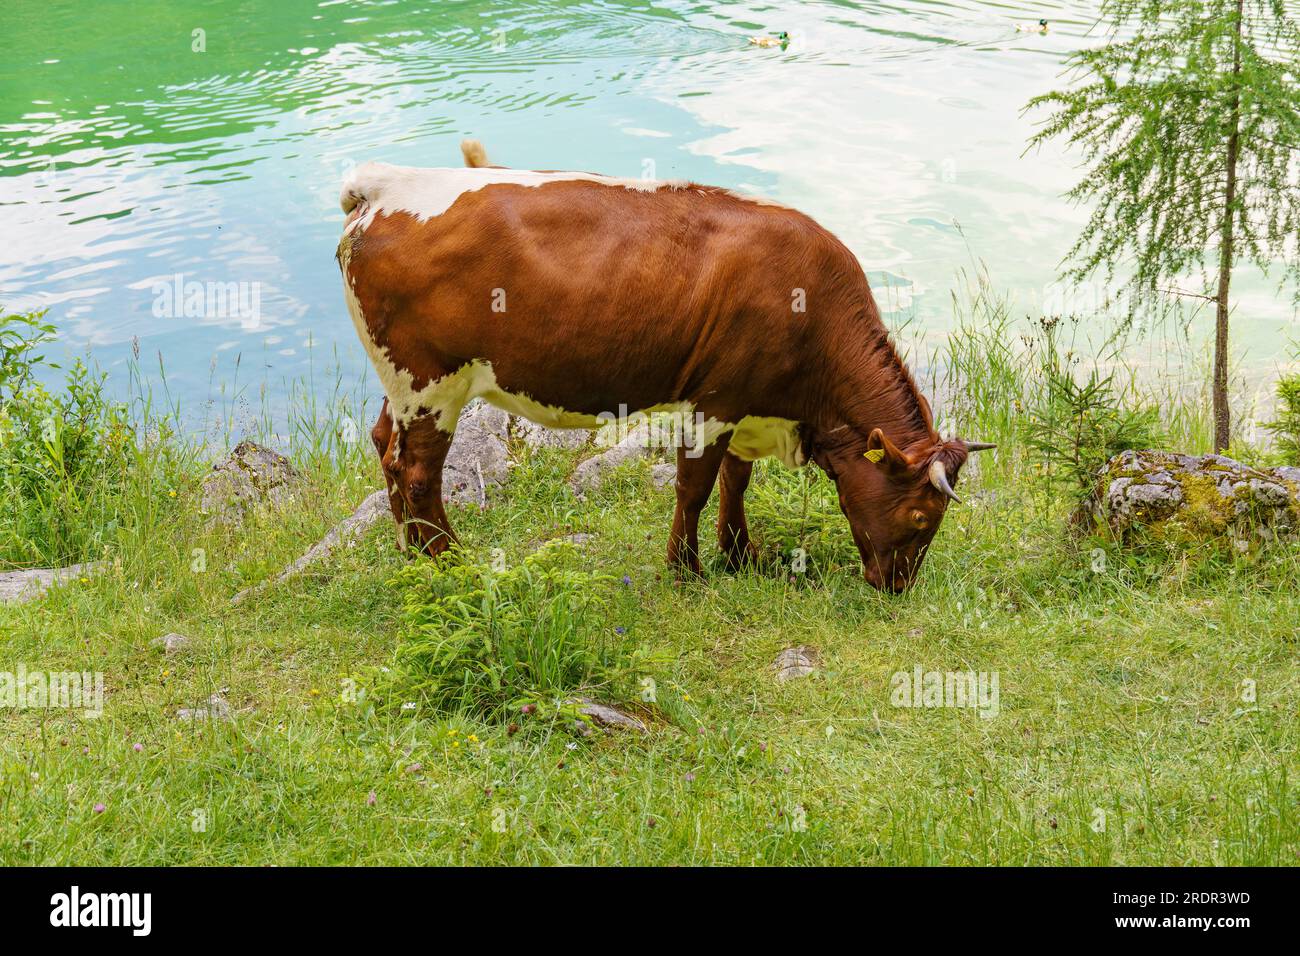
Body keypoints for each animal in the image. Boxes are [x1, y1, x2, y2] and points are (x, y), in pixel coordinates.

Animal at [338, 140, 993, 590]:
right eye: (919, 516)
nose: (896, 586)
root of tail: (385, 183)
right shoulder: (717, 399)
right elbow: (695, 484)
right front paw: (685, 570)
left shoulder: (749, 404)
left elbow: (735, 479)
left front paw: (739, 555)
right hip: (432, 383)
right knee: (417, 472)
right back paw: (450, 562)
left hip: (403, 383)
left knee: (385, 446)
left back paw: (408, 556)